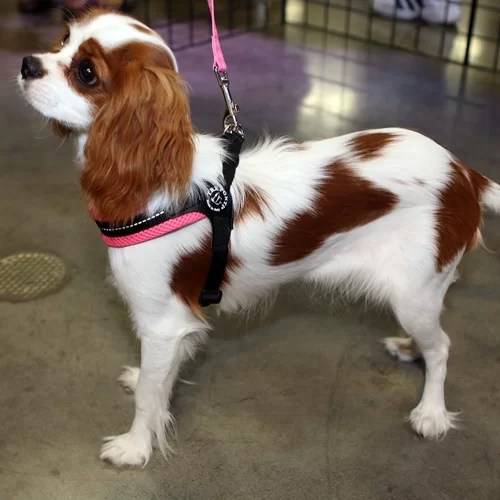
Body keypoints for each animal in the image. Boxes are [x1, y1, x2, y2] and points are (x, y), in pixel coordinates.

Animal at [18, 9, 500, 467]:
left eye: (86, 72)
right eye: (63, 40)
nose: (26, 64)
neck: (155, 180)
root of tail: (465, 174)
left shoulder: (161, 323)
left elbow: (146, 399)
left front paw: (135, 448)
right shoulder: (177, 323)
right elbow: (159, 381)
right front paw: (148, 388)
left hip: (414, 293)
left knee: (442, 348)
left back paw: (431, 413)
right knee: (430, 340)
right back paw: (408, 347)